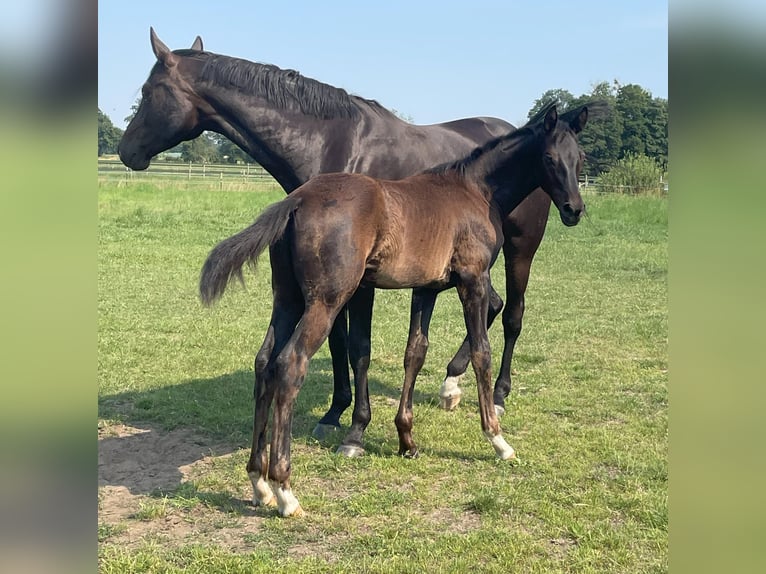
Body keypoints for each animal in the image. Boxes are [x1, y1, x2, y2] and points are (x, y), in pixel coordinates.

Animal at [117, 27, 556, 438]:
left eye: (148, 92)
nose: (125, 151)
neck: (330, 143)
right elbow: (339, 341)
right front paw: (334, 412)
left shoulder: (360, 281)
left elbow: (357, 344)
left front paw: (355, 424)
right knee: (494, 305)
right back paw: (451, 383)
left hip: (521, 250)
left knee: (513, 314)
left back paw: (498, 395)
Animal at [200, 103, 592, 516]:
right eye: (549, 158)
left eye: (580, 158)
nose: (574, 209)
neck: (475, 190)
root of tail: (297, 201)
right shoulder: (473, 279)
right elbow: (481, 352)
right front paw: (497, 441)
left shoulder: (428, 287)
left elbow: (415, 352)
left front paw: (407, 440)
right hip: (326, 300)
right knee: (290, 365)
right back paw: (285, 491)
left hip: (287, 299)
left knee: (264, 362)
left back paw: (258, 482)